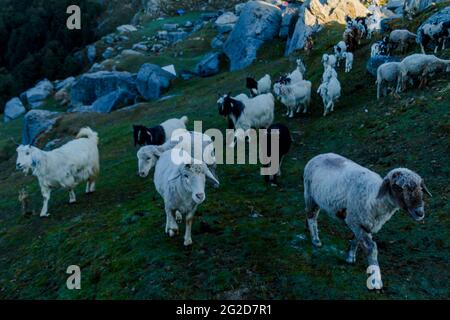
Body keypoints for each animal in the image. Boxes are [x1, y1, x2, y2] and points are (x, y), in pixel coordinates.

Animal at [302, 152, 432, 290]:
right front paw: (375, 280)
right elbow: (371, 248)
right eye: (398, 188)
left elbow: (356, 240)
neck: (374, 200)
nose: (420, 212)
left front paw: (350, 258)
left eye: (420, 188)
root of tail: (320, 155)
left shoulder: (364, 225)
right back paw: (315, 240)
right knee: (312, 216)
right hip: (309, 195)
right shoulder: (354, 221)